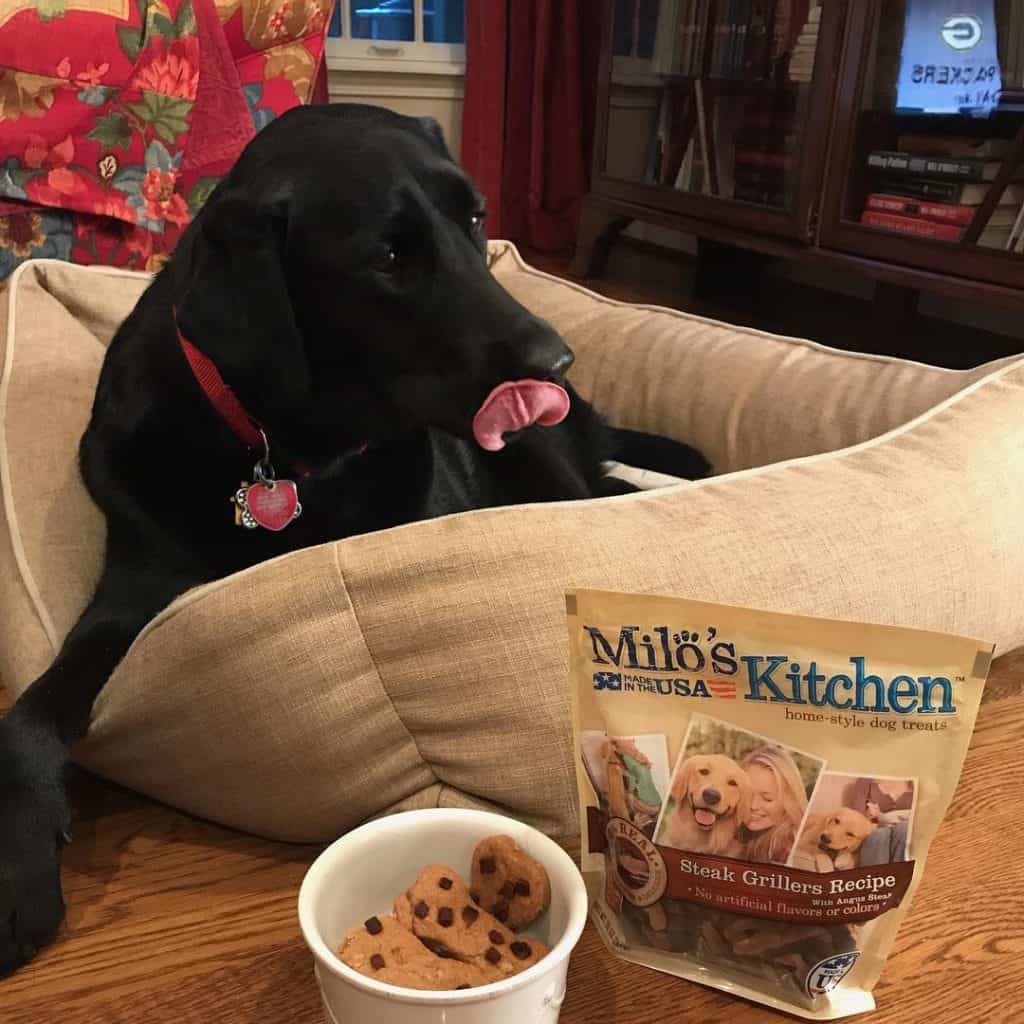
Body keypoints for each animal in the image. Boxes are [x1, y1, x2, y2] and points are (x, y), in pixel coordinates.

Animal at [0, 103, 704, 974]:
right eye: (389, 257)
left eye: (475, 218)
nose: (556, 363)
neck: (288, 452)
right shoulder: (130, 592)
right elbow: (34, 709)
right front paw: (20, 859)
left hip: (546, 463)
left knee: (608, 491)